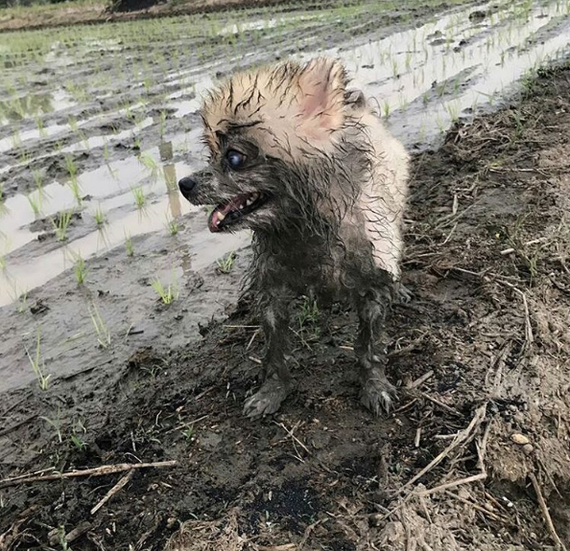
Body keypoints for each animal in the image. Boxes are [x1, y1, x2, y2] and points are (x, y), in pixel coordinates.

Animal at [178, 57, 408, 418]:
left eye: (234, 158)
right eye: (211, 153)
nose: (184, 184)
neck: (302, 226)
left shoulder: (373, 277)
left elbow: (370, 344)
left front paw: (374, 385)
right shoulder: (271, 289)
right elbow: (274, 350)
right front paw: (272, 392)